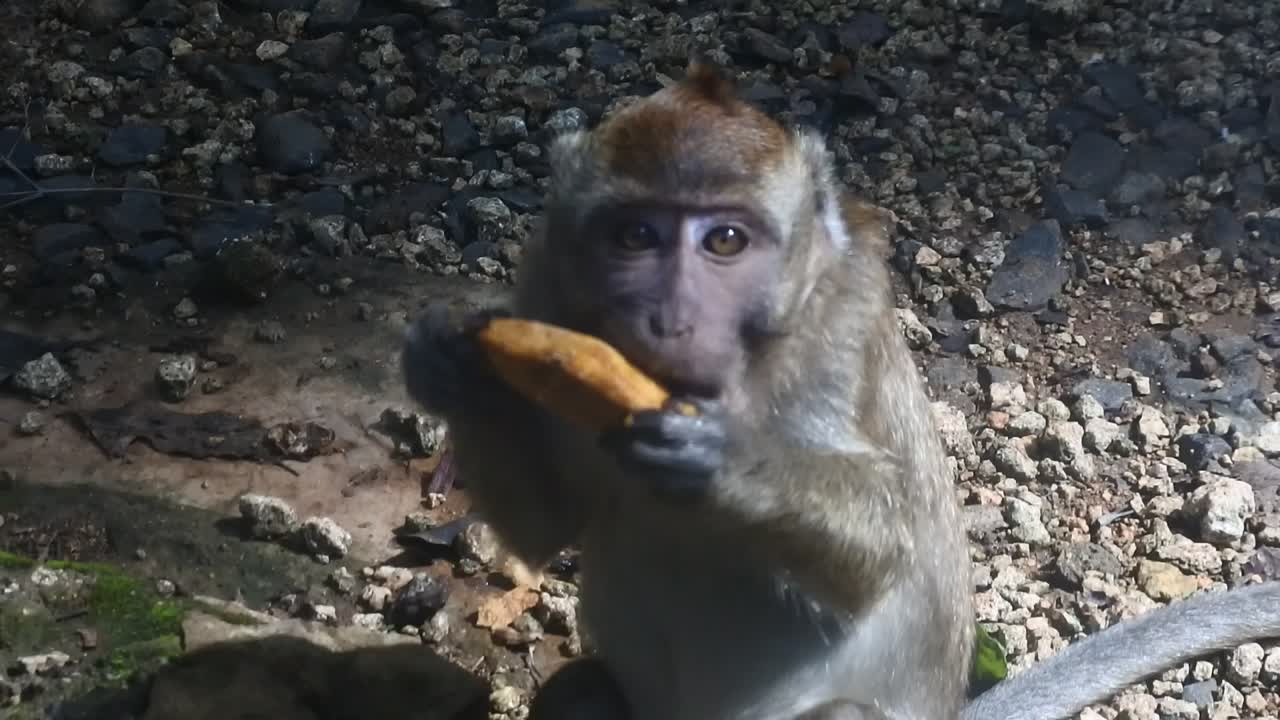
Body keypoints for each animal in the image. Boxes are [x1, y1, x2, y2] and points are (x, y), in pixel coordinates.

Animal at [402, 62, 1280, 720]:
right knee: (581, 690)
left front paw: (726, 462)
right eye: (636, 235)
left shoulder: (840, 324)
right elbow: (548, 528)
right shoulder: (542, 289)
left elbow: (881, 554)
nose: (669, 318)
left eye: (725, 240)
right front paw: (450, 368)